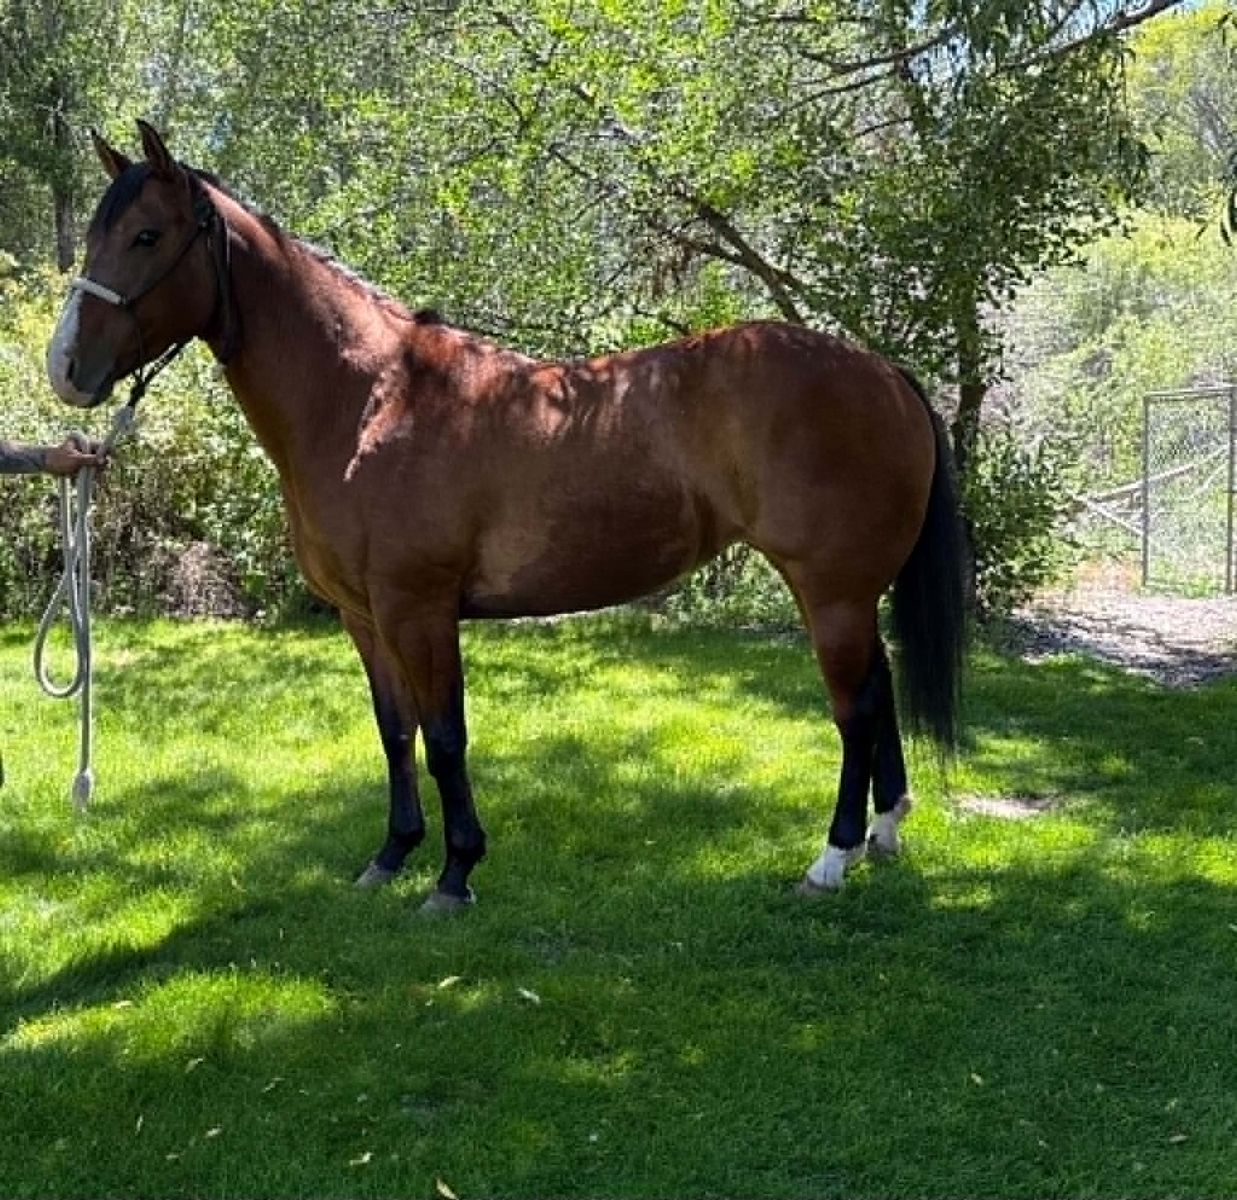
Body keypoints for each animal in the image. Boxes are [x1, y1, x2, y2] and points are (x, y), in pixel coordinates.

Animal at [46, 121, 967, 910]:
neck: (367, 401)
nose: (65, 367)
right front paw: (390, 857)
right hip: (851, 594)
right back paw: (884, 831)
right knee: (880, 689)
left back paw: (831, 858)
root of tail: (883, 372)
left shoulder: (419, 610)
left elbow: (445, 737)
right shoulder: (363, 617)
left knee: (854, 709)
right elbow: (395, 733)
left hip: (830, 591)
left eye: (147, 236)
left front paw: (454, 874)